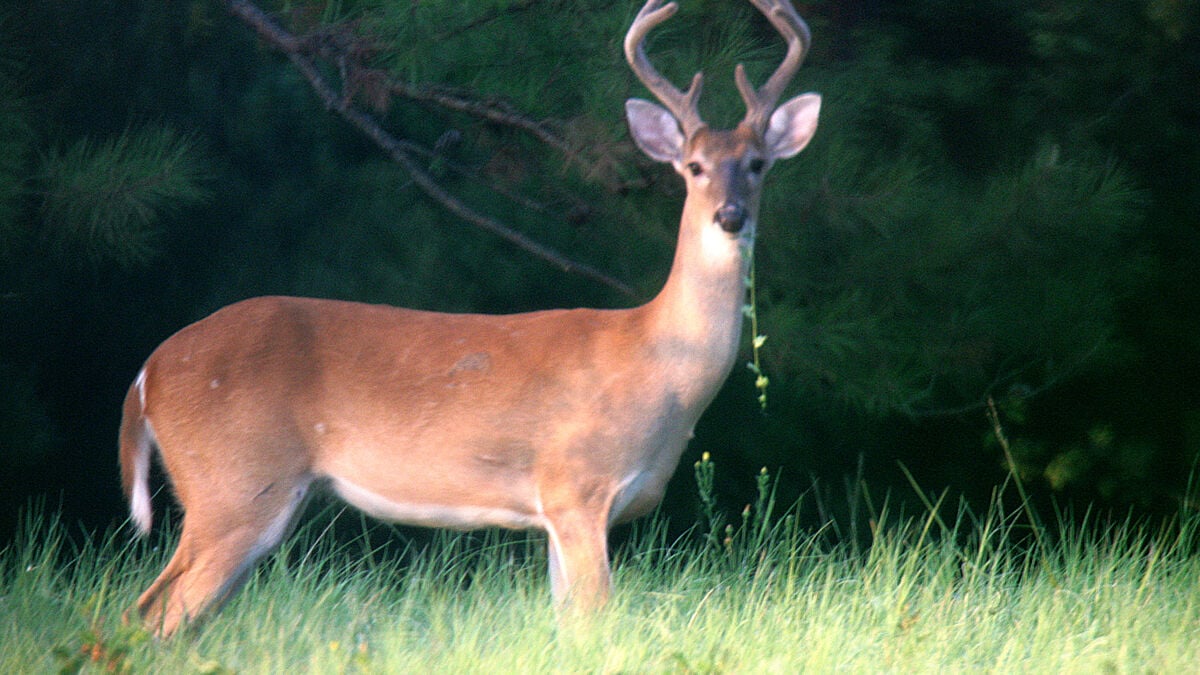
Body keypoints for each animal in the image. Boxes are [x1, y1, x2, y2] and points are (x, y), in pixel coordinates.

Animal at [118, 0, 820, 636]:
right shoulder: (576, 484)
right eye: (694, 167)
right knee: (151, 612)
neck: (658, 363)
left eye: (757, 164)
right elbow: (598, 623)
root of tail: (147, 375)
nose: (730, 215)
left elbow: (567, 626)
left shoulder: (558, 512)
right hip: (235, 482)